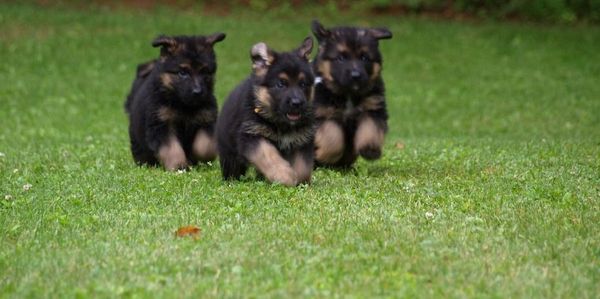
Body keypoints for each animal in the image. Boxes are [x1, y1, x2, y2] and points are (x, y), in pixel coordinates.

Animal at [124, 32, 225, 171]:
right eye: (182, 72)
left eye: (204, 71)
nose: (198, 92)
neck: (183, 105)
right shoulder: (161, 125)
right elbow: (172, 148)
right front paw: (179, 166)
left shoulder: (207, 120)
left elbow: (205, 146)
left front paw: (199, 159)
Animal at [218, 37, 316, 188]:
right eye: (281, 84)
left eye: (303, 84)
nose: (297, 103)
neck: (281, 123)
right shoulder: (251, 136)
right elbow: (268, 155)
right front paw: (285, 176)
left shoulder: (303, 139)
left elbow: (303, 167)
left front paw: (301, 182)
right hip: (229, 153)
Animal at [312, 20, 392, 169]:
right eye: (341, 58)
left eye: (364, 57)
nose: (356, 75)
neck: (348, 93)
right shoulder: (322, 115)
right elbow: (332, 136)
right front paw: (325, 156)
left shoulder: (373, 110)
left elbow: (370, 129)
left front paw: (370, 150)